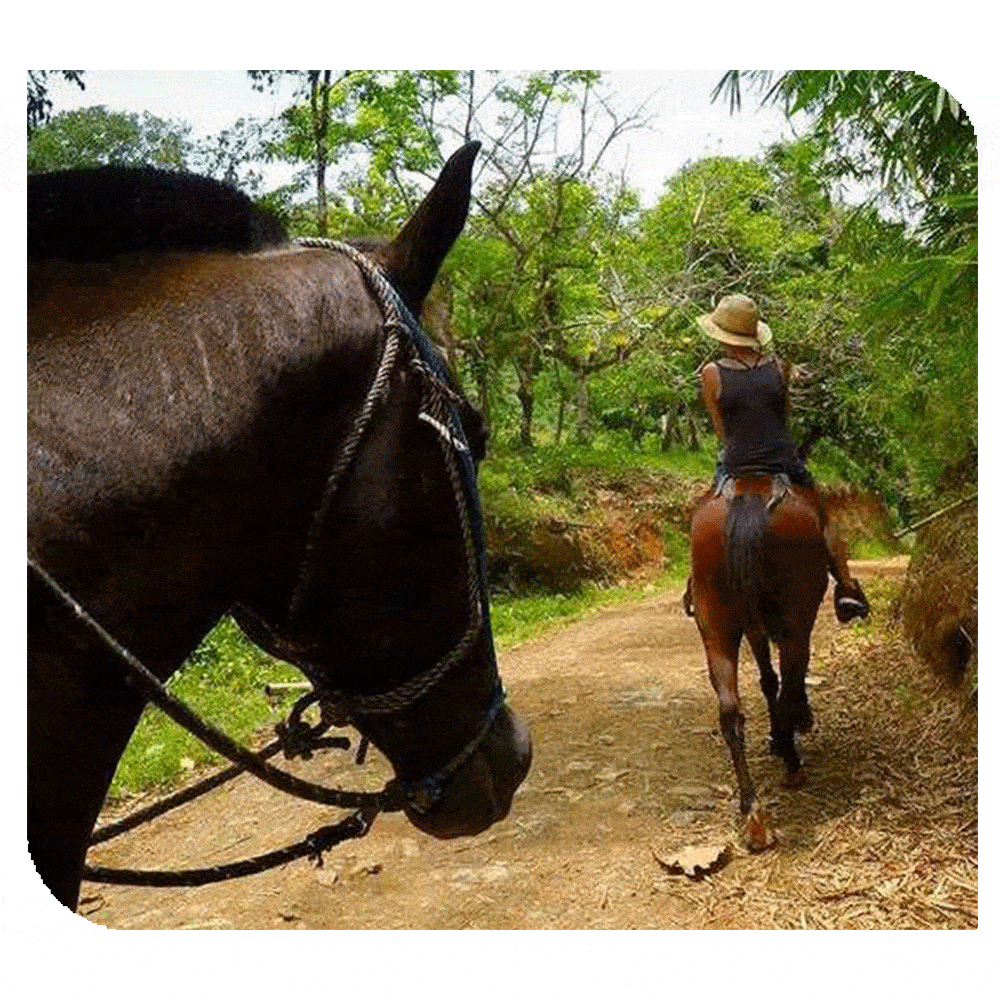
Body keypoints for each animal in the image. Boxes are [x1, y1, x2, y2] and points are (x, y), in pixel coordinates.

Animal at [688, 472, 828, 848]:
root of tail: (749, 493)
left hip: (715, 624)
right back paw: (791, 760)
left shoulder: (751, 626)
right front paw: (789, 731)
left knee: (730, 712)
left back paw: (752, 810)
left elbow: (767, 678)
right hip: (797, 619)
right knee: (791, 683)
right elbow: (782, 682)